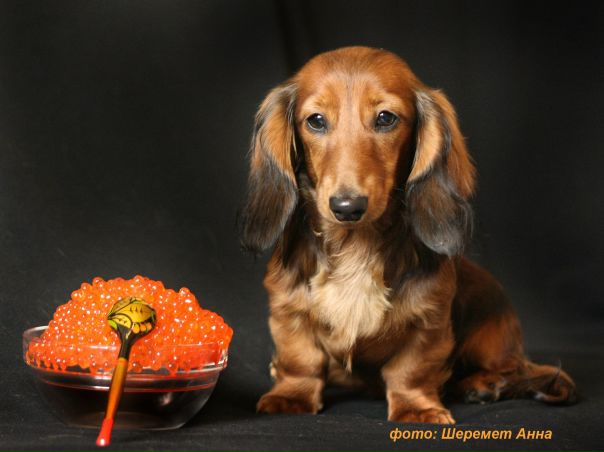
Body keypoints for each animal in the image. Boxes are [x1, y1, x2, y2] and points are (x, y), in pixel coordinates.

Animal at [239, 46, 576, 424]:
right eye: (316, 120)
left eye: (386, 118)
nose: (347, 207)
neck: (355, 245)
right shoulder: (287, 311)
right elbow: (301, 360)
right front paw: (290, 397)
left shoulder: (429, 320)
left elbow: (410, 369)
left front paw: (417, 408)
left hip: (492, 335)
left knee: (513, 368)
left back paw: (483, 385)